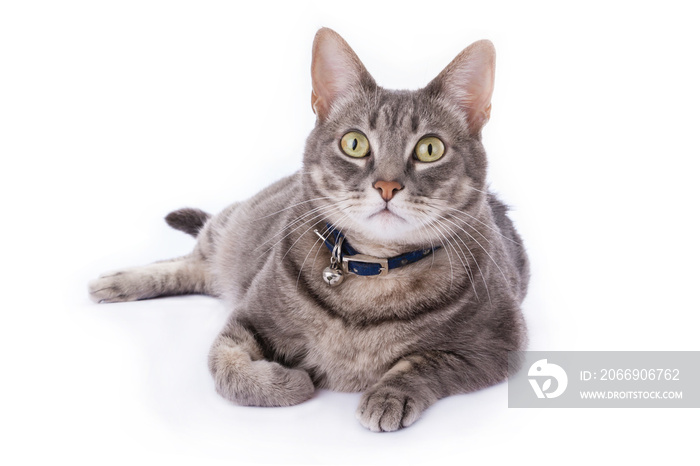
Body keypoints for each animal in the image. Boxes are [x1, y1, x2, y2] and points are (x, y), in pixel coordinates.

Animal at [91, 27, 532, 432]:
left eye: (430, 149)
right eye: (355, 143)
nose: (387, 186)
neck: (373, 273)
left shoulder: (498, 345)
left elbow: (424, 363)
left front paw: (388, 395)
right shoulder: (247, 318)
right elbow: (228, 369)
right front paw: (293, 383)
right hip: (233, 228)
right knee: (196, 260)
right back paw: (116, 282)